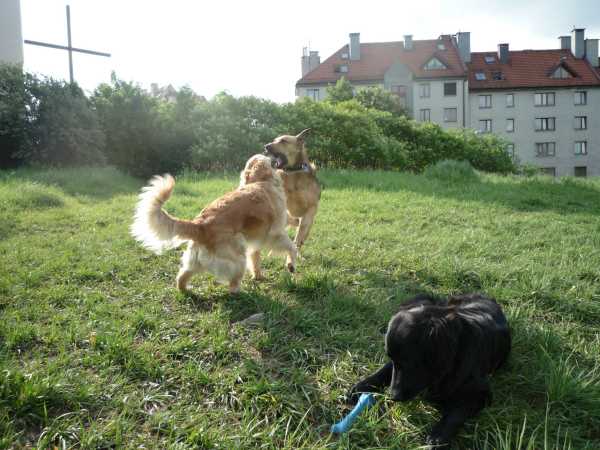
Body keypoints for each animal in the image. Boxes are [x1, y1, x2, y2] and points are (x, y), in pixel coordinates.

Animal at [131, 154, 296, 294]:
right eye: (267, 158)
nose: (269, 152)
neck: (260, 181)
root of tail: (199, 224)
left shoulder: (256, 240)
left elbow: (255, 258)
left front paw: (258, 275)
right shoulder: (275, 233)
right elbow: (292, 247)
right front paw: (291, 265)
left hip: (194, 261)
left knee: (181, 277)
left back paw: (186, 290)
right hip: (237, 256)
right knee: (233, 286)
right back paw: (242, 292)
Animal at [347, 293, 511, 448]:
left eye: (411, 363)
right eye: (393, 359)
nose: (393, 396)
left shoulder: (482, 393)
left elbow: (457, 413)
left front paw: (439, 434)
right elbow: (385, 369)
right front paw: (362, 386)